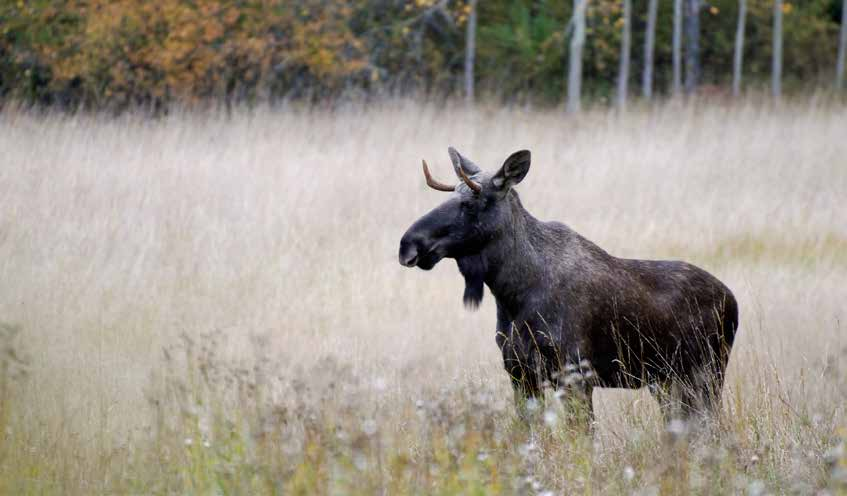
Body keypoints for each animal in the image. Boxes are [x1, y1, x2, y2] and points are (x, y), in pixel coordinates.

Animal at [400, 148, 740, 422]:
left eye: (472, 203)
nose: (408, 244)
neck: (512, 293)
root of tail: (733, 301)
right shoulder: (519, 374)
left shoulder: (575, 374)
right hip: (668, 381)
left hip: (708, 374)